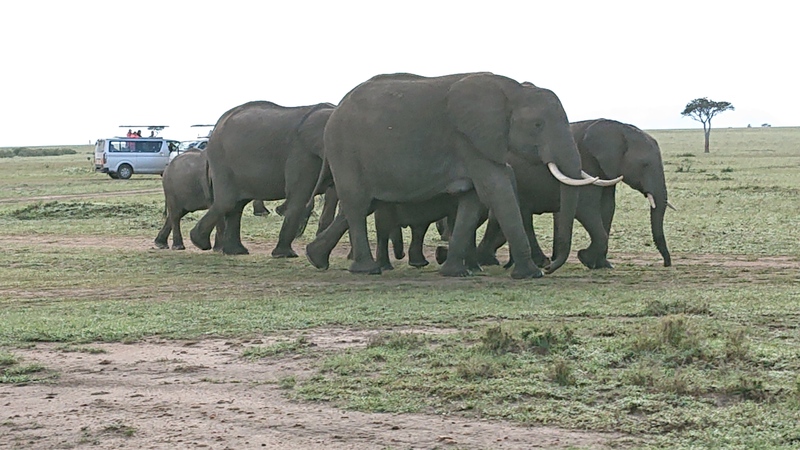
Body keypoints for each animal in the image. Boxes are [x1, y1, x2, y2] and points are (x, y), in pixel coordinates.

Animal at [190, 101, 336, 257]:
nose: (279, 209)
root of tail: (218, 123)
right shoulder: (302, 152)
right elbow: (299, 195)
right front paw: (286, 255)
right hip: (221, 160)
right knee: (227, 202)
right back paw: (200, 242)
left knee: (237, 205)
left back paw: (236, 251)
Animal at [305, 72, 597, 279]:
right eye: (537, 125)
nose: (550, 266)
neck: (513, 91)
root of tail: (336, 110)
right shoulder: (469, 140)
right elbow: (497, 190)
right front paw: (530, 275)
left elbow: (473, 199)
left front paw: (456, 272)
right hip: (345, 150)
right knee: (357, 203)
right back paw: (367, 270)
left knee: (364, 204)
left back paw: (316, 259)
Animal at [476, 118, 674, 269]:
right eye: (645, 165)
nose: (666, 264)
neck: (618, 127)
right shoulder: (586, 164)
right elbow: (585, 208)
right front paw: (585, 258)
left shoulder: (605, 171)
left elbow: (607, 208)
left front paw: (602, 265)